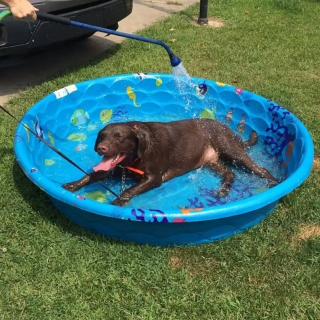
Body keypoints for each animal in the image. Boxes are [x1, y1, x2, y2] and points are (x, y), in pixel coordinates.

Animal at [62, 119, 278, 206]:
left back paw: (274, 183)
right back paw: (223, 189)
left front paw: (117, 201)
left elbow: (128, 190)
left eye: (118, 137)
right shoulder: (113, 170)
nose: (101, 148)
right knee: (229, 173)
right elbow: (91, 174)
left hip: (231, 150)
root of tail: (231, 131)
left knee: (261, 169)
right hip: (211, 161)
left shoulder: (153, 178)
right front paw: (73, 185)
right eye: (102, 136)